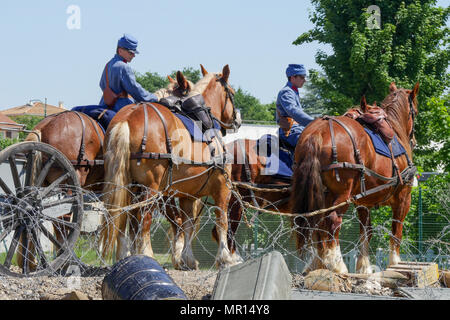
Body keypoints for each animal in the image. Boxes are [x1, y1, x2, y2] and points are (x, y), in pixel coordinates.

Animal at [100, 63, 241, 268]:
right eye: (232, 92)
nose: (237, 120)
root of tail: (127, 118)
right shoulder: (222, 187)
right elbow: (222, 220)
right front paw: (225, 257)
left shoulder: (188, 195)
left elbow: (188, 224)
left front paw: (187, 258)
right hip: (150, 189)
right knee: (144, 219)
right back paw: (147, 254)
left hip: (128, 186)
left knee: (124, 217)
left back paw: (126, 256)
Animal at [288, 82, 418, 272]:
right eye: (415, 110)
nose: (414, 140)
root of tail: (318, 132)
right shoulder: (403, 198)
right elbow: (396, 231)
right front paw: (395, 263)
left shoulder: (364, 202)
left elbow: (366, 232)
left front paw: (364, 267)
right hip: (342, 194)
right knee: (333, 221)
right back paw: (337, 264)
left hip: (321, 193)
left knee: (319, 222)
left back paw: (320, 262)